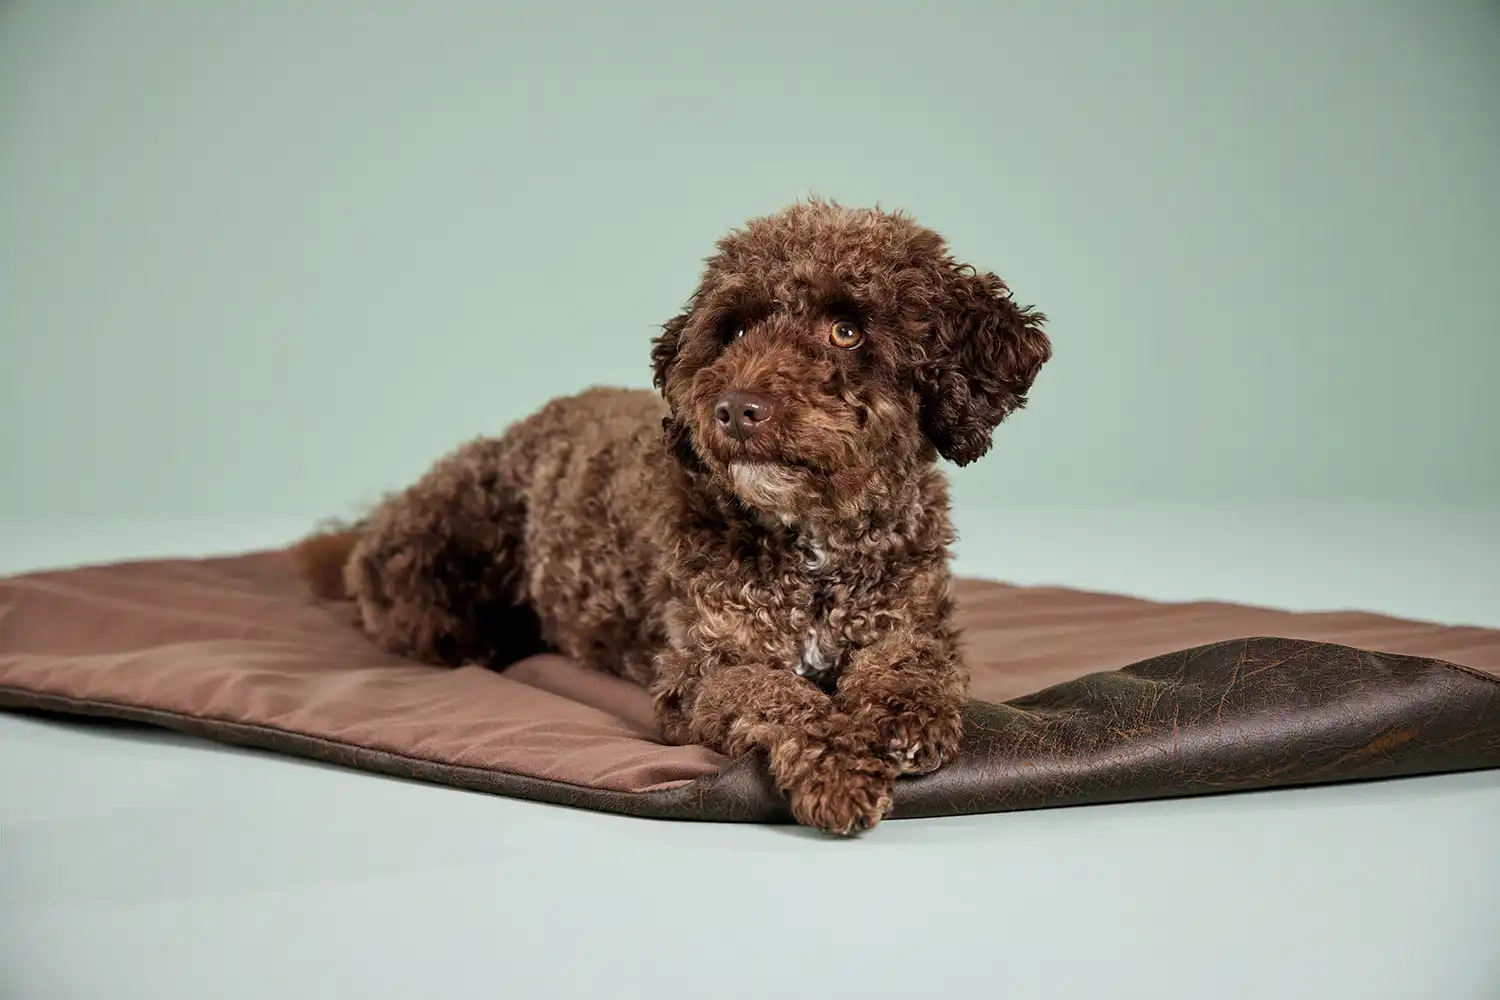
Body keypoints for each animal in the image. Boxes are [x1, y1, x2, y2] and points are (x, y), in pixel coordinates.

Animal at [289, 197, 1044, 839]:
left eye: (847, 330)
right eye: (733, 329)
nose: (736, 409)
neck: (815, 548)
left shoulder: (913, 623)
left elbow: (914, 664)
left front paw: (900, 716)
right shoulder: (704, 672)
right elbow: (783, 697)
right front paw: (839, 767)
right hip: (443, 564)